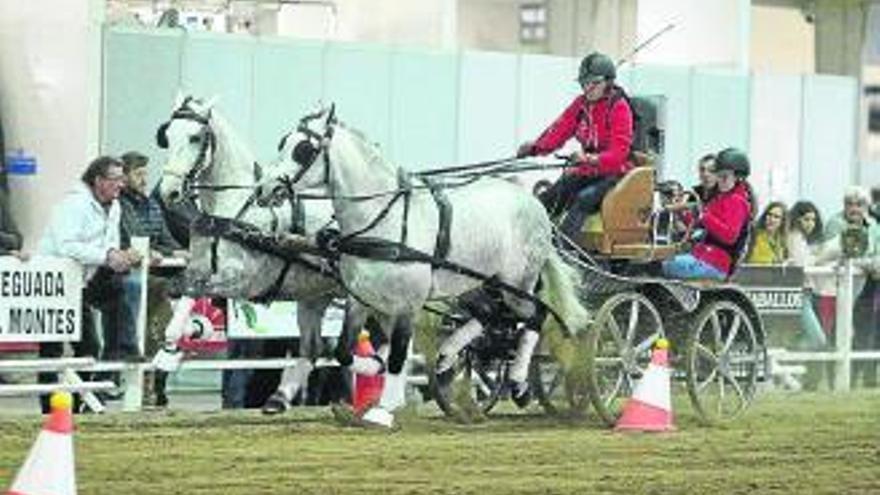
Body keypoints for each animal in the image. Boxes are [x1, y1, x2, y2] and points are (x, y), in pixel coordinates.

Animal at [156, 95, 364, 412]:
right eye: (167, 136)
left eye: (195, 137)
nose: (168, 192)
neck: (236, 210)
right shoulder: (200, 269)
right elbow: (180, 292)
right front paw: (172, 347)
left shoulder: (243, 281)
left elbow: (194, 292)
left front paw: (174, 350)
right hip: (316, 293)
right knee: (319, 349)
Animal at [262, 108, 592, 430]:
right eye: (282, 142)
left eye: (304, 150)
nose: (265, 189)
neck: (386, 220)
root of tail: (534, 203)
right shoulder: (359, 299)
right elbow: (343, 351)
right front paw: (377, 370)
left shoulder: (408, 304)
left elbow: (397, 355)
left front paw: (383, 410)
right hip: (473, 283)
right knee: (489, 313)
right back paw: (447, 356)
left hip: (517, 285)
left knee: (536, 315)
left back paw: (520, 385)